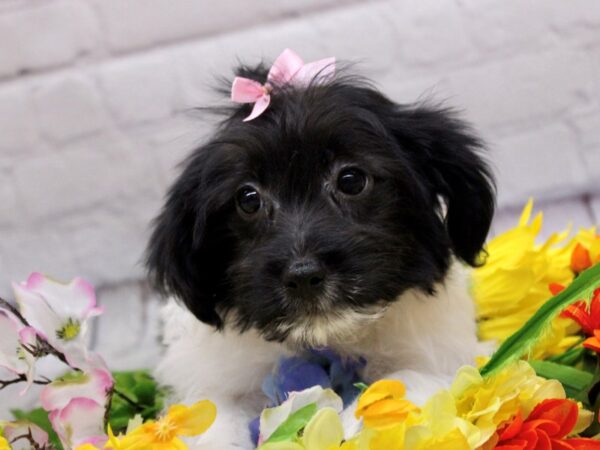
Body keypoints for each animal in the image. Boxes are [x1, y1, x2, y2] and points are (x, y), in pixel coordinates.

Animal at [145, 53, 492, 450]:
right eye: (248, 199)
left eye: (352, 180)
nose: (303, 275)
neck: (326, 338)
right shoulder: (212, 375)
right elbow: (212, 415)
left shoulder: (442, 351)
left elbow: (408, 377)